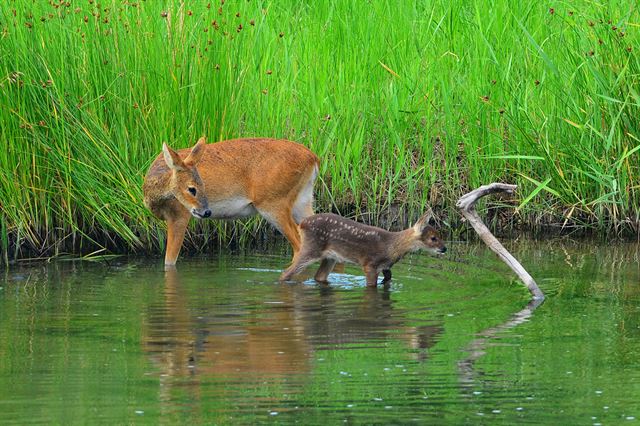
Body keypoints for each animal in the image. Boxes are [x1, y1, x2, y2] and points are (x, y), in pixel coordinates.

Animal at [142, 136, 318, 264]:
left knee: (300, 244)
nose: (207, 212)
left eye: (200, 186)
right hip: (302, 200)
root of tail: (313, 159)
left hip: (274, 202)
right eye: (192, 188)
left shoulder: (179, 215)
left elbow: (169, 262)